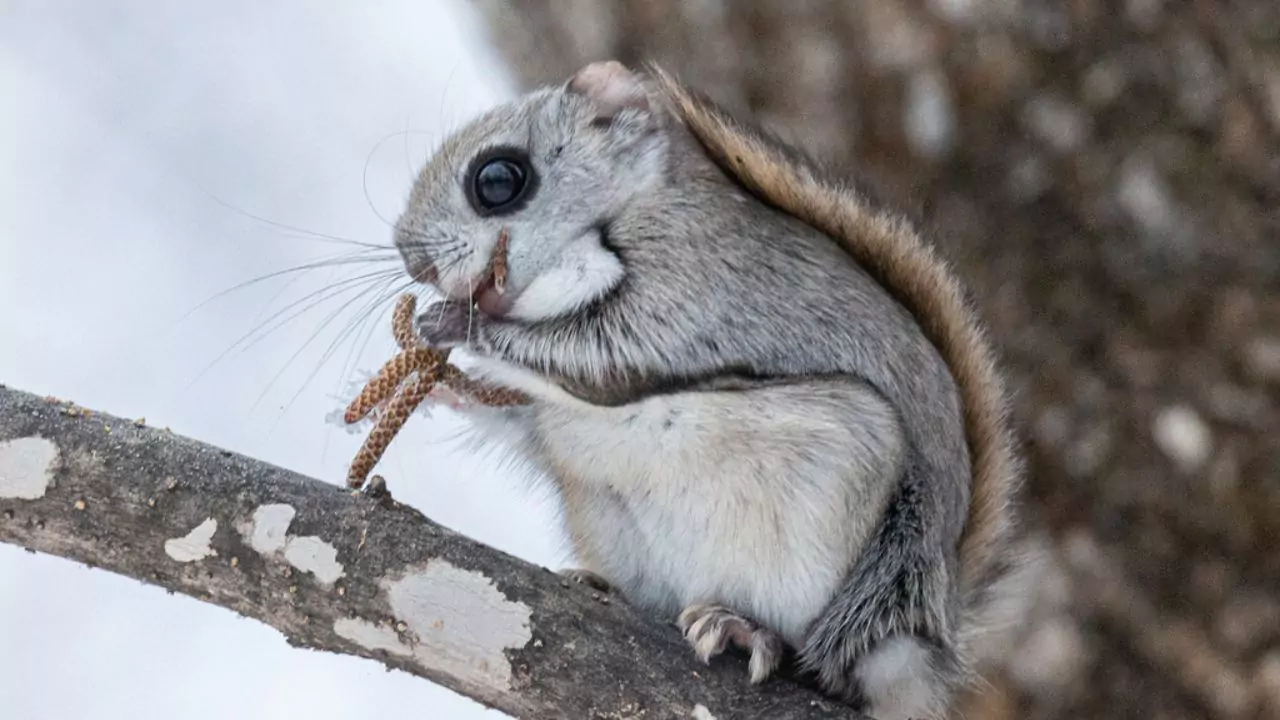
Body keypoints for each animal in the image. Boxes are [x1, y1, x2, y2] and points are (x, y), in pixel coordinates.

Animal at [393, 60, 1031, 720]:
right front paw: (446, 388)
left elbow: (598, 360)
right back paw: (605, 587)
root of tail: (922, 634)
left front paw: (455, 324)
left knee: (825, 670)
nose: (414, 262)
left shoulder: (692, 281)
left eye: (498, 178)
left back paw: (747, 628)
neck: (636, 200)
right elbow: (524, 414)